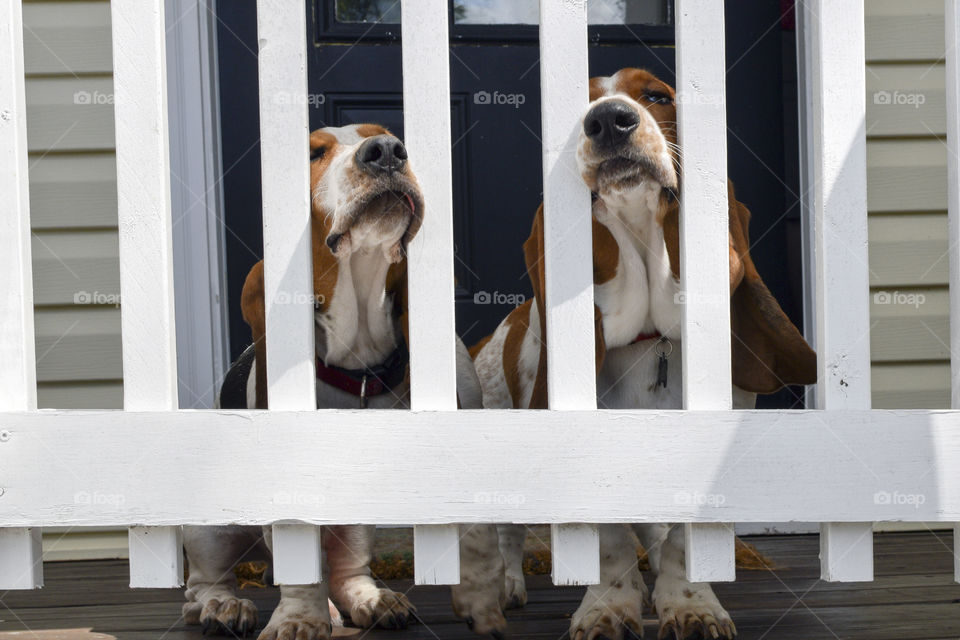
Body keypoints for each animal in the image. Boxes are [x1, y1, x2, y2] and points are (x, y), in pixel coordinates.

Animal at [183, 125, 506, 640]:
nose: (388, 153)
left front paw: (482, 603)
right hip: (209, 529)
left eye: (390, 137)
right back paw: (227, 607)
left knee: (345, 570)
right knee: (202, 588)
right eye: (313, 152)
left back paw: (369, 600)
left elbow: (478, 537)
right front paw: (299, 619)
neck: (360, 368)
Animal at [472, 70, 816, 640]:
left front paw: (691, 604)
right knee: (507, 534)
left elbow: (678, 539)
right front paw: (609, 608)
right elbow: (609, 543)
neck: (650, 340)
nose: (610, 120)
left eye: (657, 96)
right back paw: (507, 587)